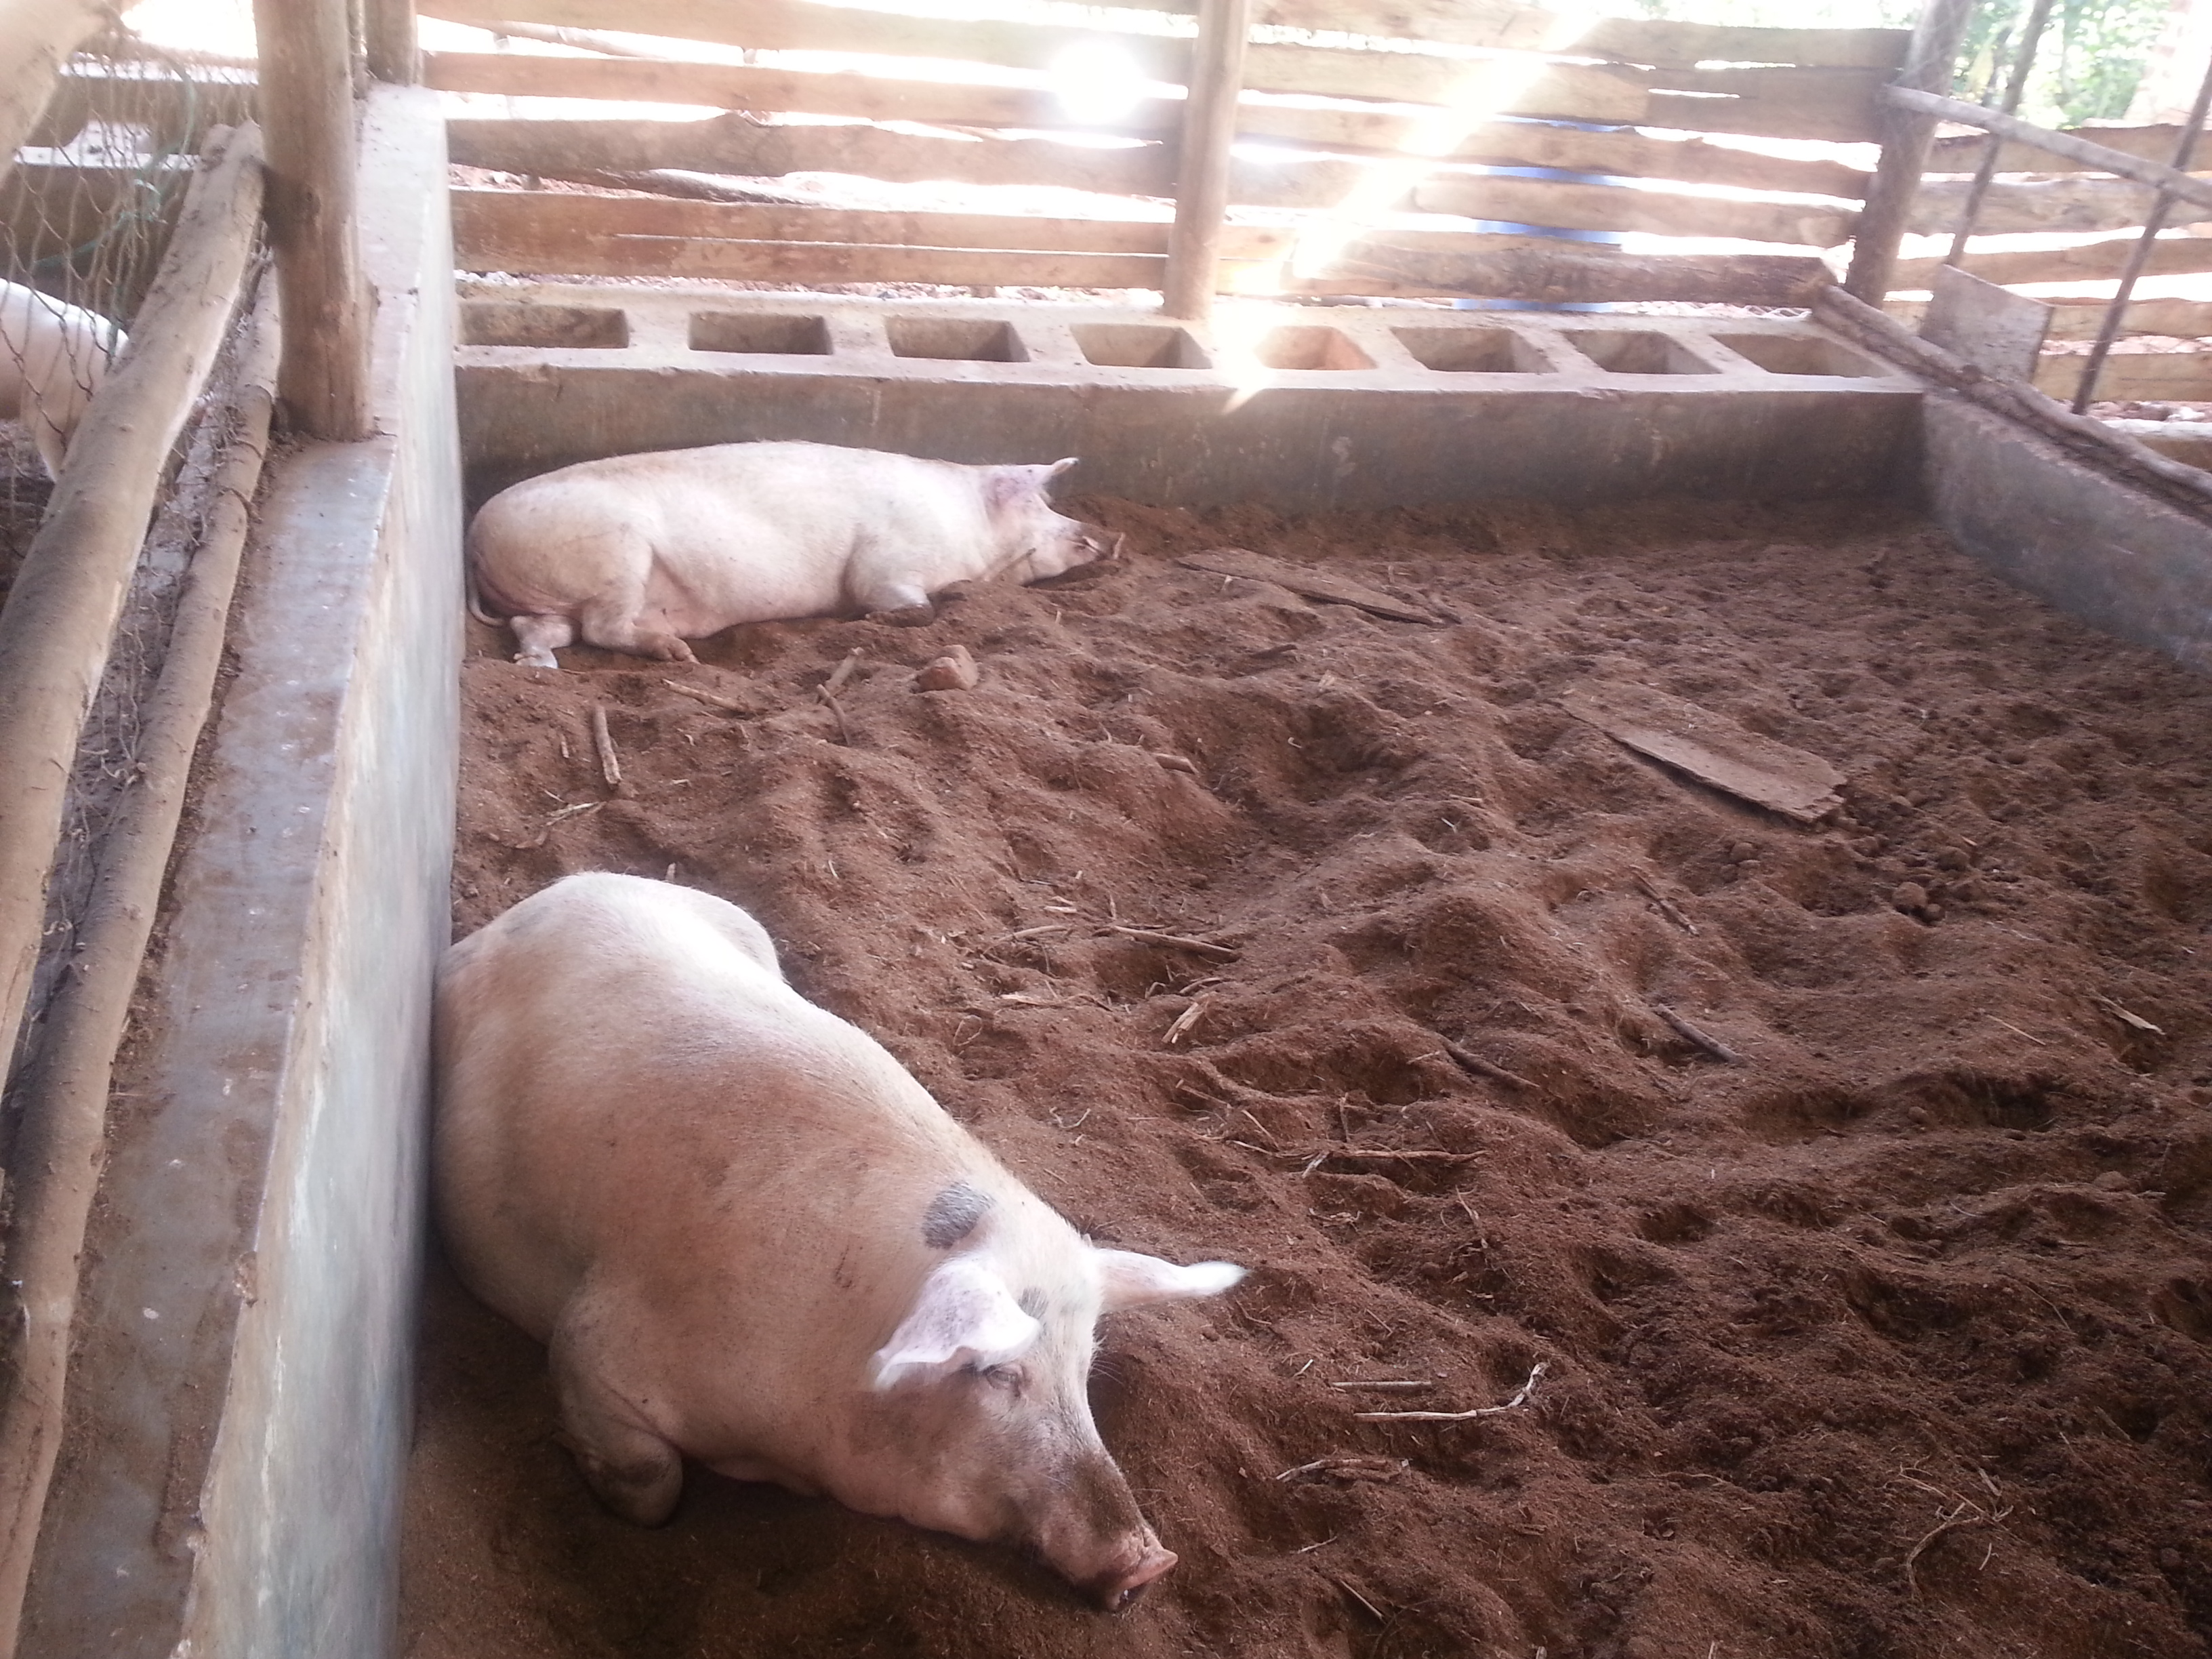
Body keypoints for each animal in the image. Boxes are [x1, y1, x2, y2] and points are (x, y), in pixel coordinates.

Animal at [433, 873, 1243, 1606]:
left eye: (1084, 1369)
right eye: (995, 1372)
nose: (1152, 1562)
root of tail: (568, 887)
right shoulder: (594, 1340)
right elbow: (652, 1487)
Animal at [466, 441, 1118, 669]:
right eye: (1038, 504)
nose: (1105, 536)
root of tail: (477, 536)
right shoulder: (888, 559)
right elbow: (907, 605)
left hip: (556, 594)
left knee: (541, 629)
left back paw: (540, 667)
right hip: (618, 554)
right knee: (604, 628)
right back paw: (677, 653)